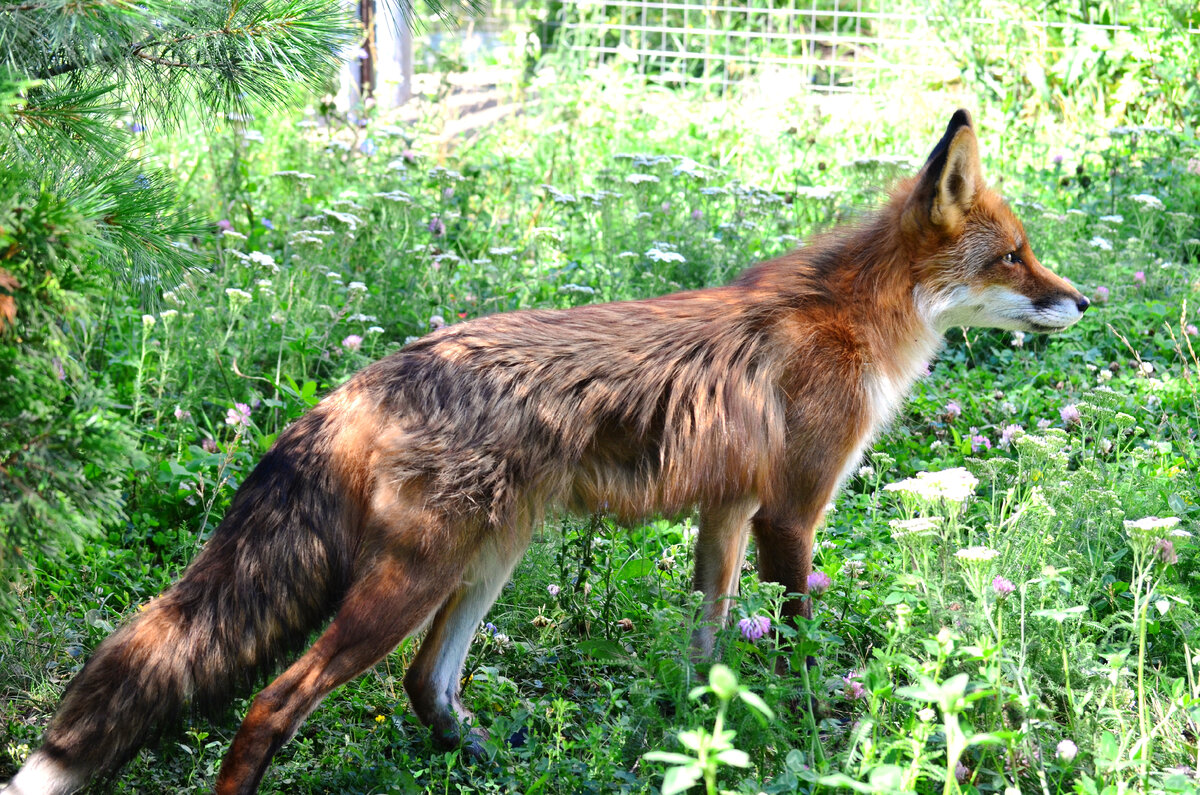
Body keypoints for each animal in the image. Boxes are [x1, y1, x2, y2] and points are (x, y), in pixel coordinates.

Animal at [2, 109, 1089, 792]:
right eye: (1014, 257)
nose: (1086, 300)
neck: (851, 320)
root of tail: (363, 379)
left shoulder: (726, 514)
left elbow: (708, 649)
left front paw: (698, 737)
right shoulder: (791, 511)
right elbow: (799, 641)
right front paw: (814, 722)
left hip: (489, 558)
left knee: (427, 686)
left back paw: (498, 763)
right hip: (407, 583)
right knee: (274, 705)